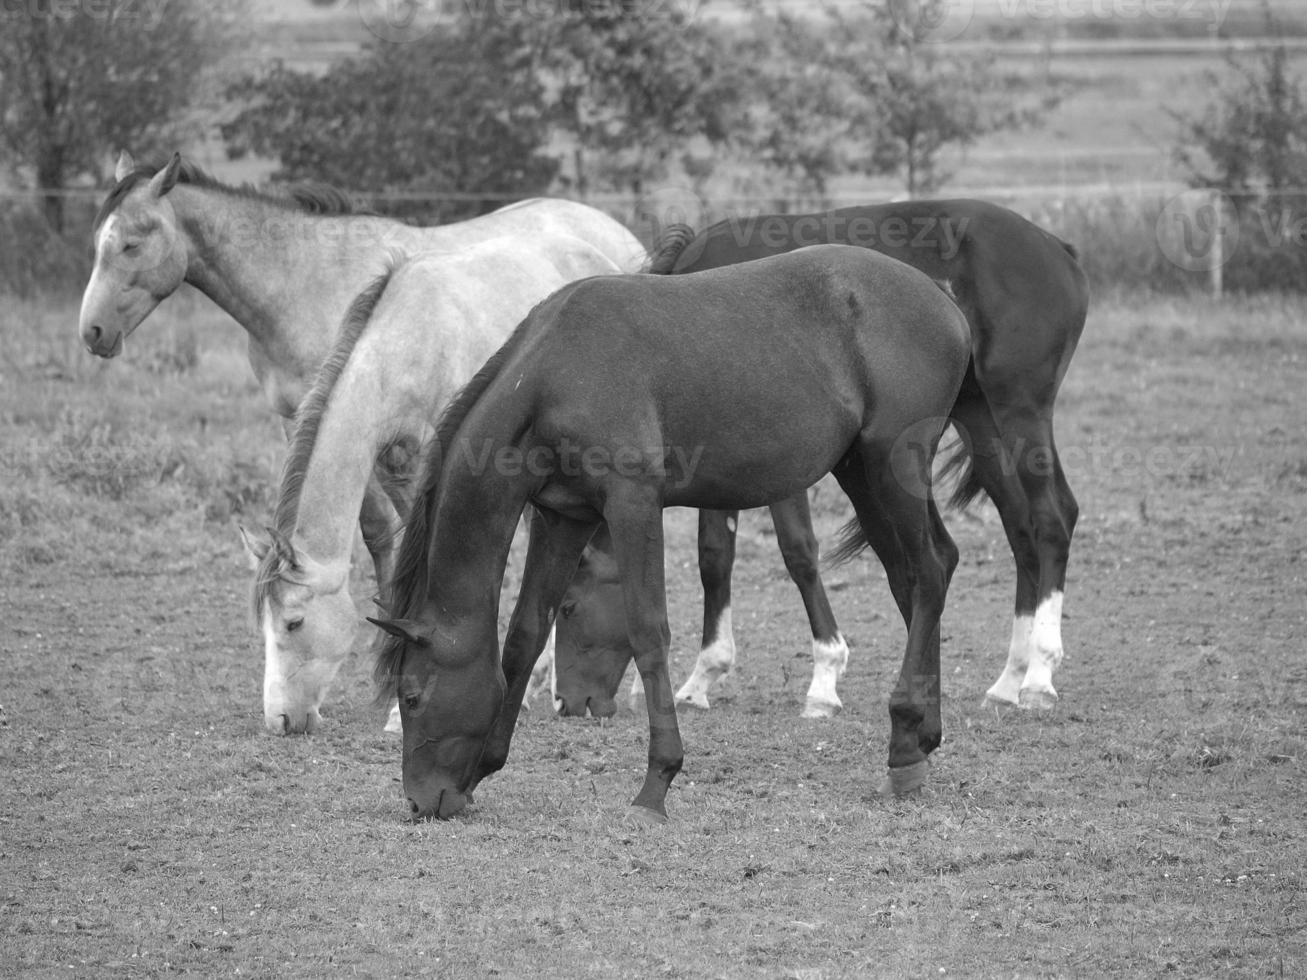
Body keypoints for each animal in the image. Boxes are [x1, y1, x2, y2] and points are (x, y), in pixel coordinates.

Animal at [368, 244, 972, 820]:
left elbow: (648, 633)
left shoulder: (633, 505)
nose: (420, 801)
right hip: (864, 475)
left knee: (927, 574)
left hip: (892, 469)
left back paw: (903, 745)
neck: (551, 377)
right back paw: (923, 735)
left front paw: (656, 784)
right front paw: (486, 766)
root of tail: (944, 300)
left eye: (412, 697)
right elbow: (524, 634)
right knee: (923, 575)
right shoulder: (563, 518)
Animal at [554, 199, 1092, 721]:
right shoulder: (717, 467)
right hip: (979, 422)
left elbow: (797, 553)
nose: (567, 702)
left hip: (1018, 413)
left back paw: (1039, 674)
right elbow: (714, 556)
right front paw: (702, 677)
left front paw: (824, 680)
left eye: (570, 606)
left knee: (1052, 517)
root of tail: (1058, 248)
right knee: (1019, 526)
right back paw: (1007, 680)